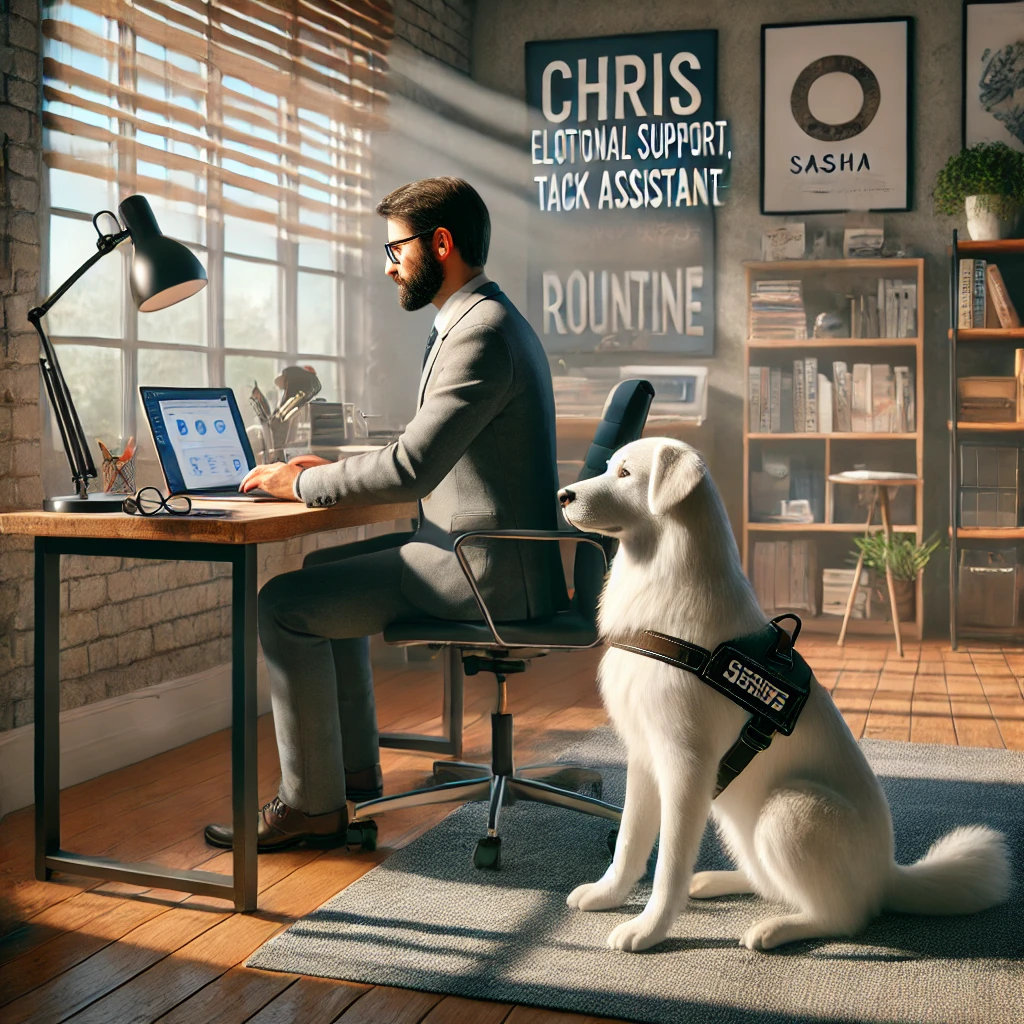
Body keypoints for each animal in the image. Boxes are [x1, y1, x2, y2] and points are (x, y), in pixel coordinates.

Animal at [561, 438, 1007, 950]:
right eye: (608, 466)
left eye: (625, 473)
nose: (562, 495)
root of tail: (888, 875)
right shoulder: (644, 755)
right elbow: (630, 841)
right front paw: (607, 894)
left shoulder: (687, 766)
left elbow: (669, 862)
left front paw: (648, 929)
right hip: (740, 820)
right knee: (770, 882)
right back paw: (716, 881)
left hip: (788, 810)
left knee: (848, 916)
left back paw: (777, 929)